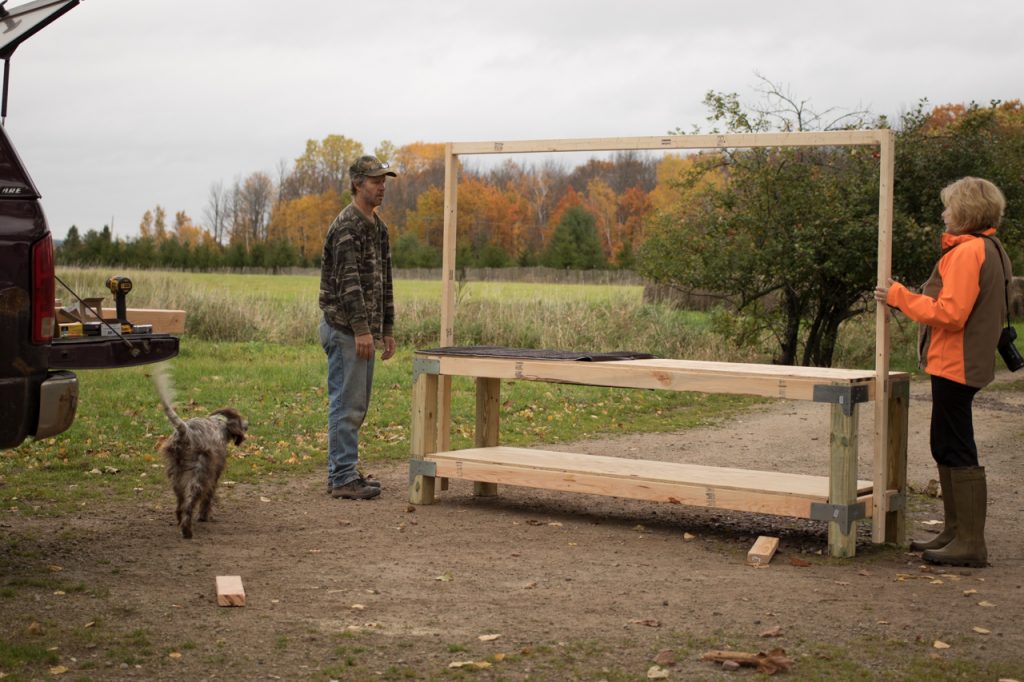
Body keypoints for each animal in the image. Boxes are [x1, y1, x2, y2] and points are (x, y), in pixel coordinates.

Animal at [151, 364, 245, 540]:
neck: (219, 424)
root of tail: (184, 432)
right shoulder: (214, 475)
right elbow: (207, 499)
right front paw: (204, 517)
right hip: (198, 477)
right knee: (188, 506)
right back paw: (187, 531)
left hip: (177, 477)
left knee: (180, 506)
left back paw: (181, 524)